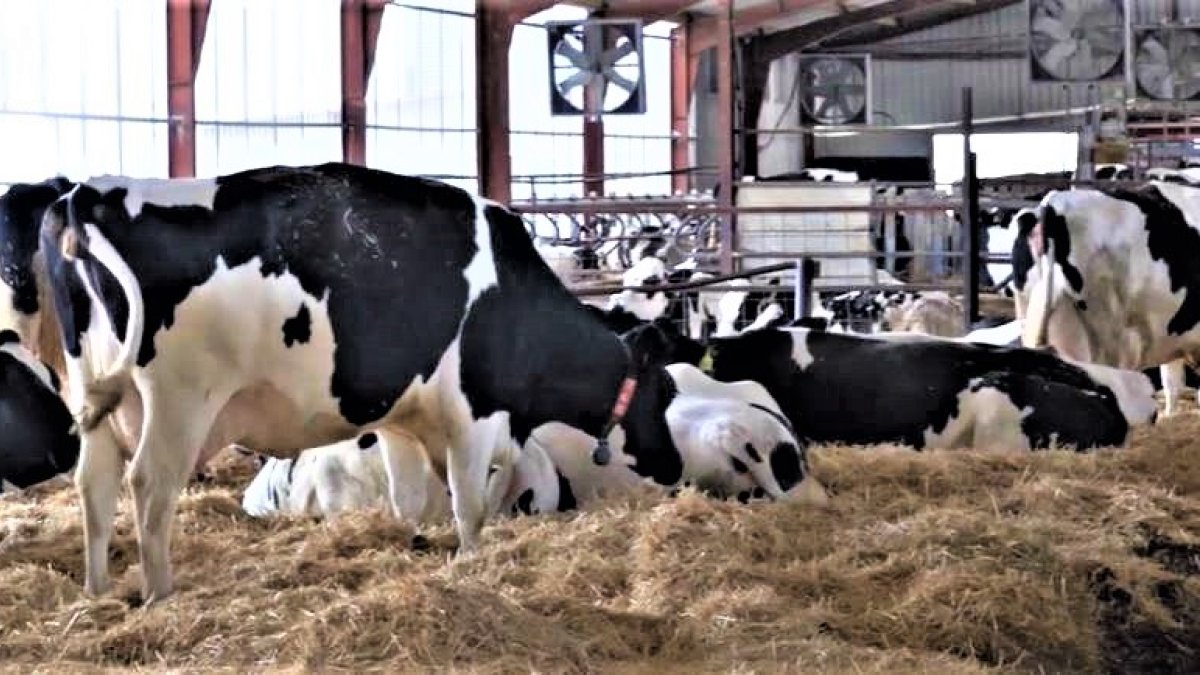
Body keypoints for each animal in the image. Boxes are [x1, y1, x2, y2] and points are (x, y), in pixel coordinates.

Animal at [35, 163, 797, 604]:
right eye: (663, 392)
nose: (671, 468)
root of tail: (85, 195)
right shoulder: (474, 409)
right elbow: (471, 501)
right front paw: (473, 561)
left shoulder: (402, 418)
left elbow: (410, 502)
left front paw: (415, 547)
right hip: (177, 399)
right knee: (149, 489)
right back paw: (159, 594)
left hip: (93, 399)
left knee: (94, 490)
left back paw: (97, 593)